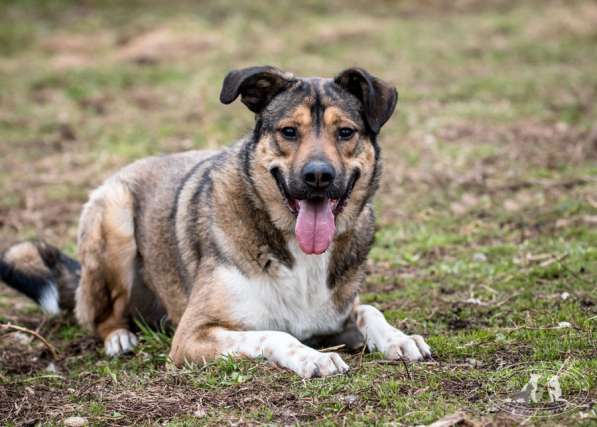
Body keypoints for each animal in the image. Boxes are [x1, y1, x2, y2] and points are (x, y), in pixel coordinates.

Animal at [0, 66, 428, 378]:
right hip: (114, 218)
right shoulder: (193, 335)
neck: (295, 248)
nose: (318, 176)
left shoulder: (335, 313)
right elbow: (273, 333)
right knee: (99, 315)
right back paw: (118, 338)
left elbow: (368, 309)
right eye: (289, 131)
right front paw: (312, 357)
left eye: (346, 133)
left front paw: (398, 338)